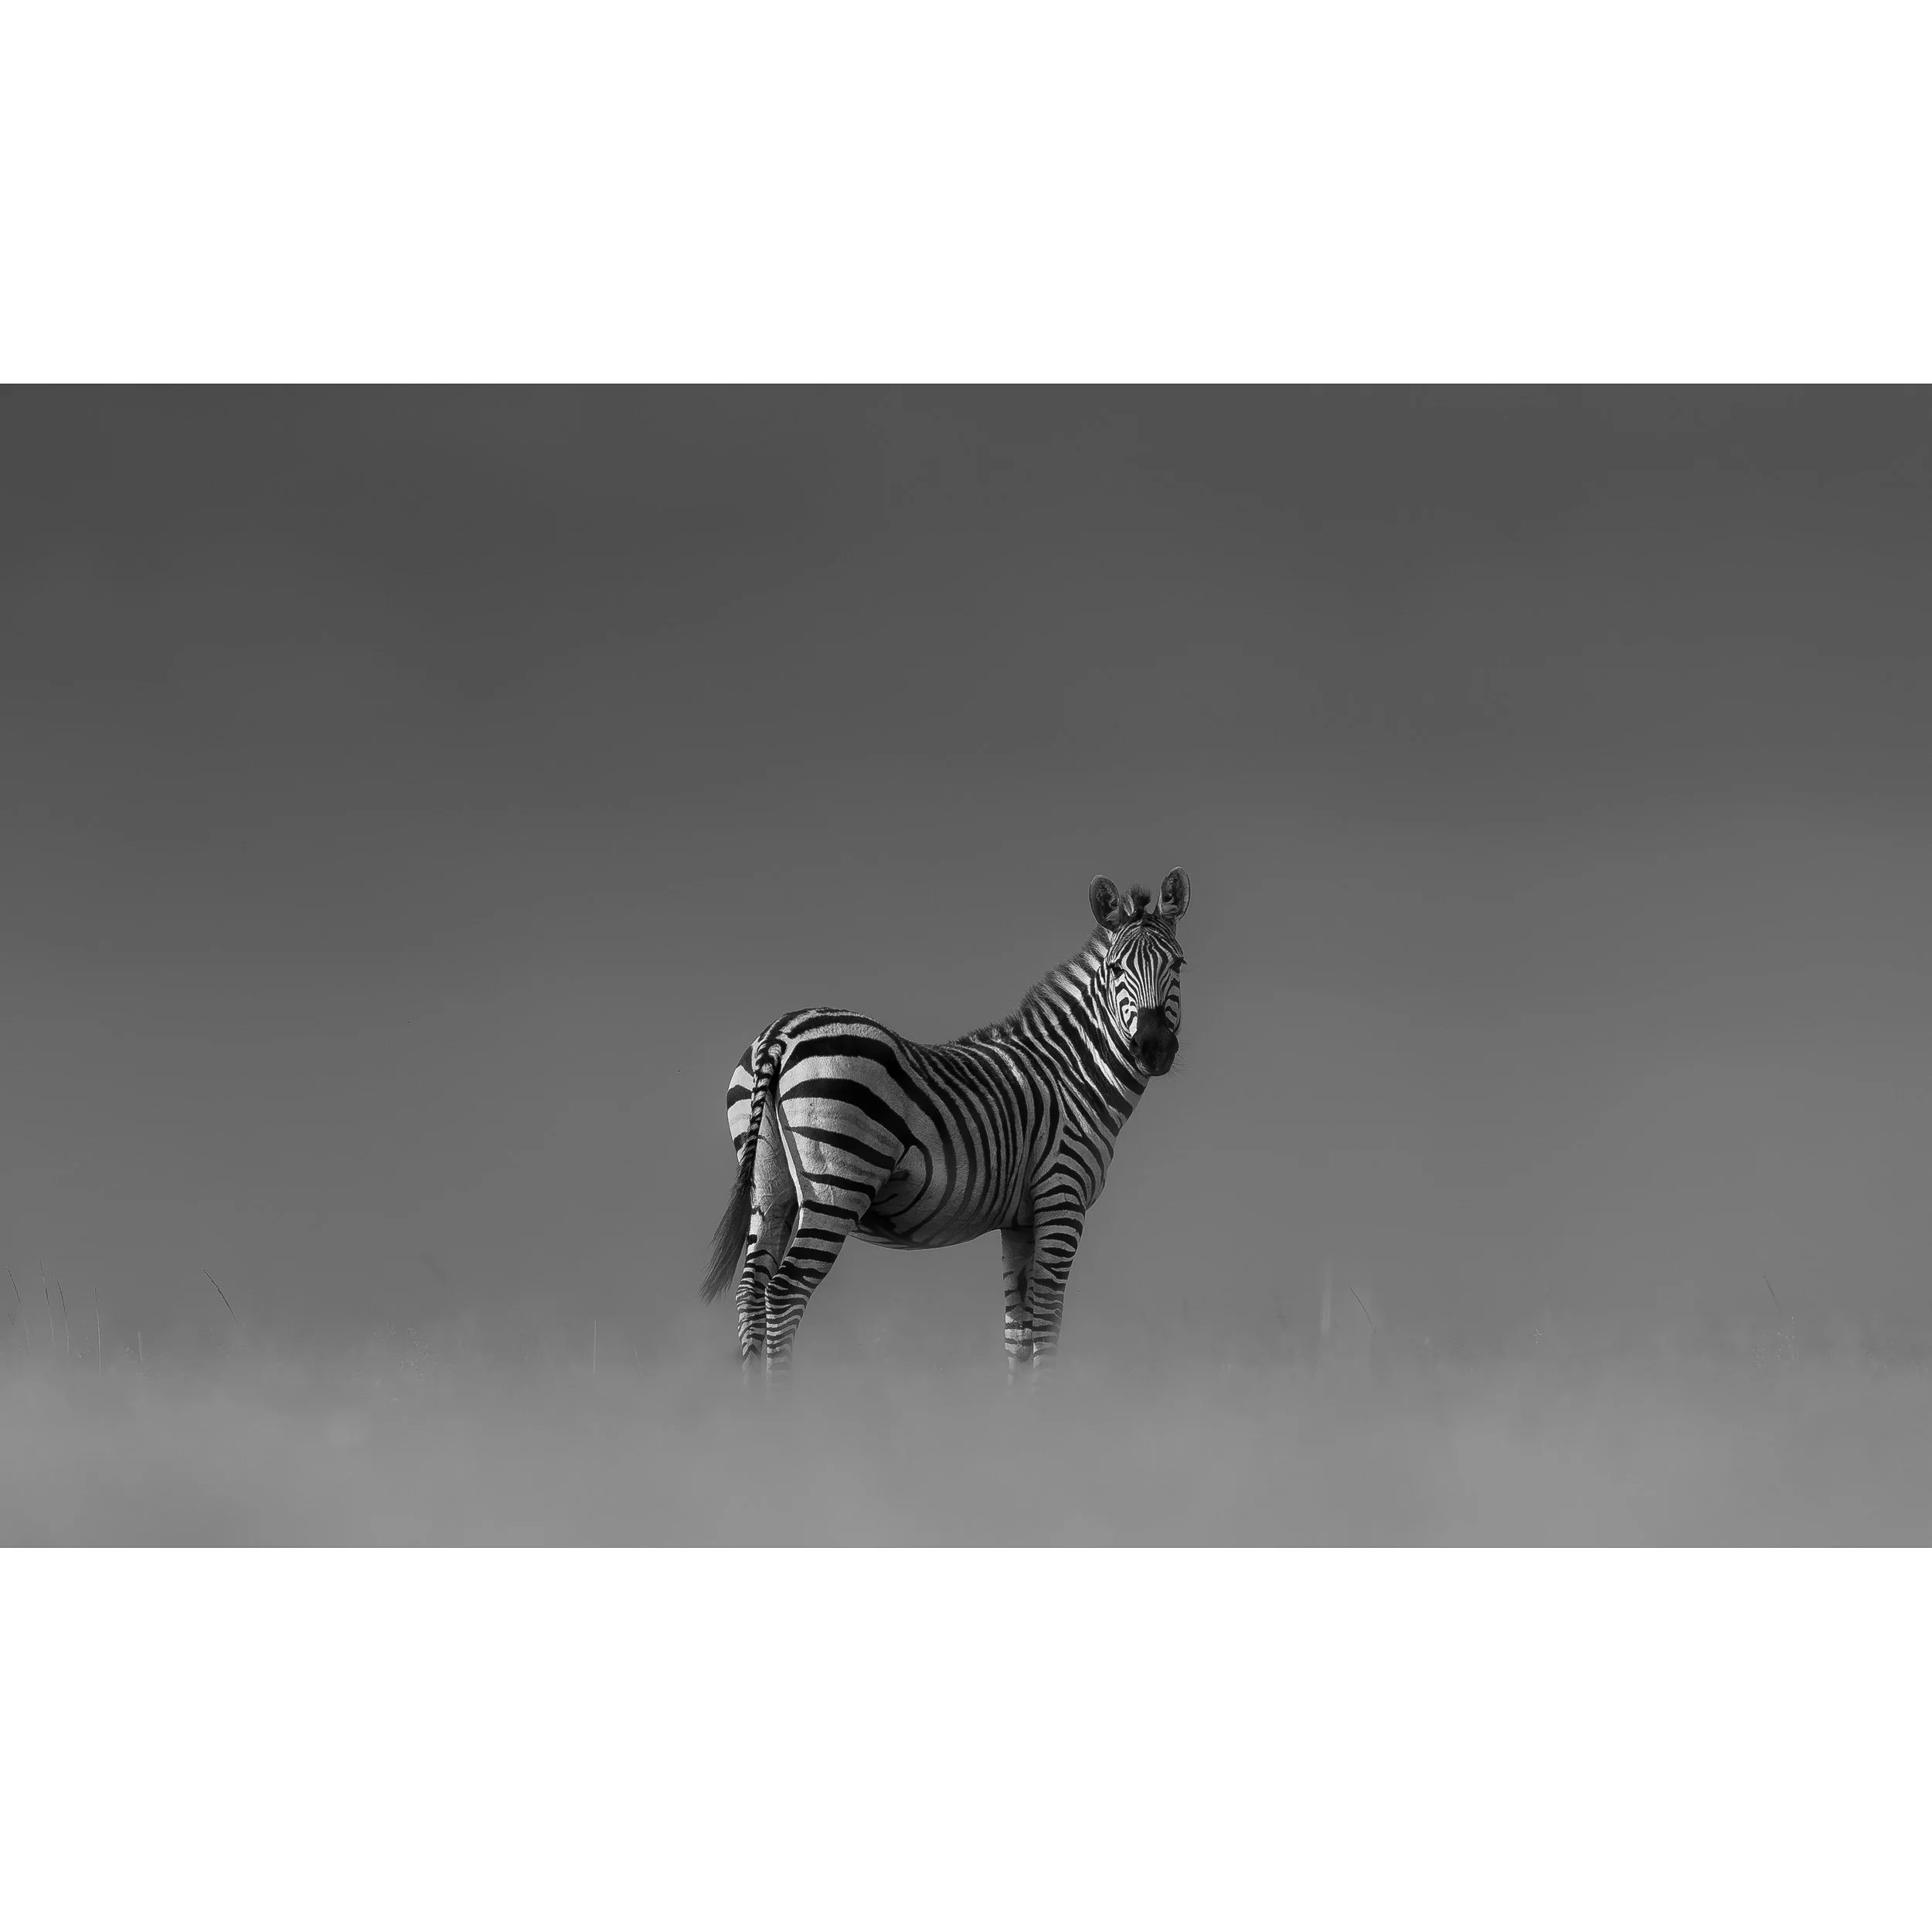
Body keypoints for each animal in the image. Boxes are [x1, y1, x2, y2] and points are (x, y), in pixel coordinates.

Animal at [699, 868, 1191, 1377]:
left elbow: (1019, 1332)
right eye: (1115, 970)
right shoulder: (1062, 1197)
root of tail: (781, 1033)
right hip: (835, 1184)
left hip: (769, 1184)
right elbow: (1047, 1323)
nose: (1154, 1048)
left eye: (1178, 965)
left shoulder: (1020, 1220)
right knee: (784, 1291)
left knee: (751, 1292)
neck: (1071, 1072)